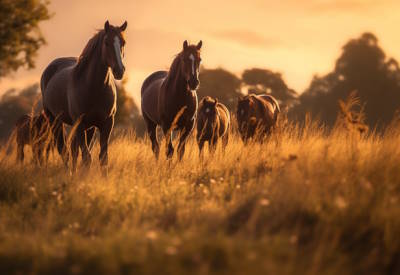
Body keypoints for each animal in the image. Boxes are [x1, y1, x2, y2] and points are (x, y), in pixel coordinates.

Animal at [40, 20, 128, 174]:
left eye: (123, 42)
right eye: (106, 42)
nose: (119, 70)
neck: (93, 88)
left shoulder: (106, 123)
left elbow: (102, 157)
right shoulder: (79, 123)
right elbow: (86, 157)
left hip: (89, 127)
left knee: (74, 151)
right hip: (54, 120)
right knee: (64, 151)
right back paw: (69, 173)